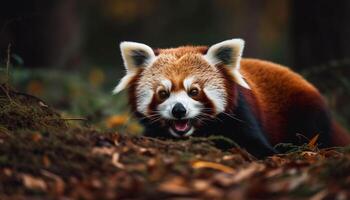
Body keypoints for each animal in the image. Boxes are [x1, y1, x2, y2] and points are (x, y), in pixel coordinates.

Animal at [113, 39, 350, 158]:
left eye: (194, 91)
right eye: (163, 93)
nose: (179, 110)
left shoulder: (241, 111)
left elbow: (256, 145)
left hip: (305, 111)